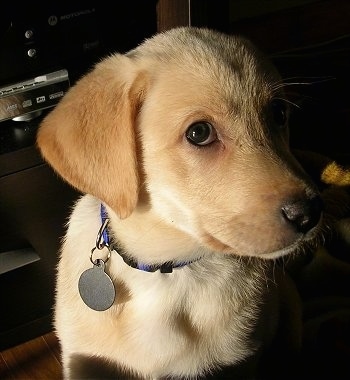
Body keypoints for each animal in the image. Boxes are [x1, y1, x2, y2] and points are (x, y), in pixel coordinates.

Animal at [37, 26, 322, 378]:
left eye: (279, 114)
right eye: (199, 133)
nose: (309, 214)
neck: (166, 271)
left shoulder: (241, 361)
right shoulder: (82, 362)